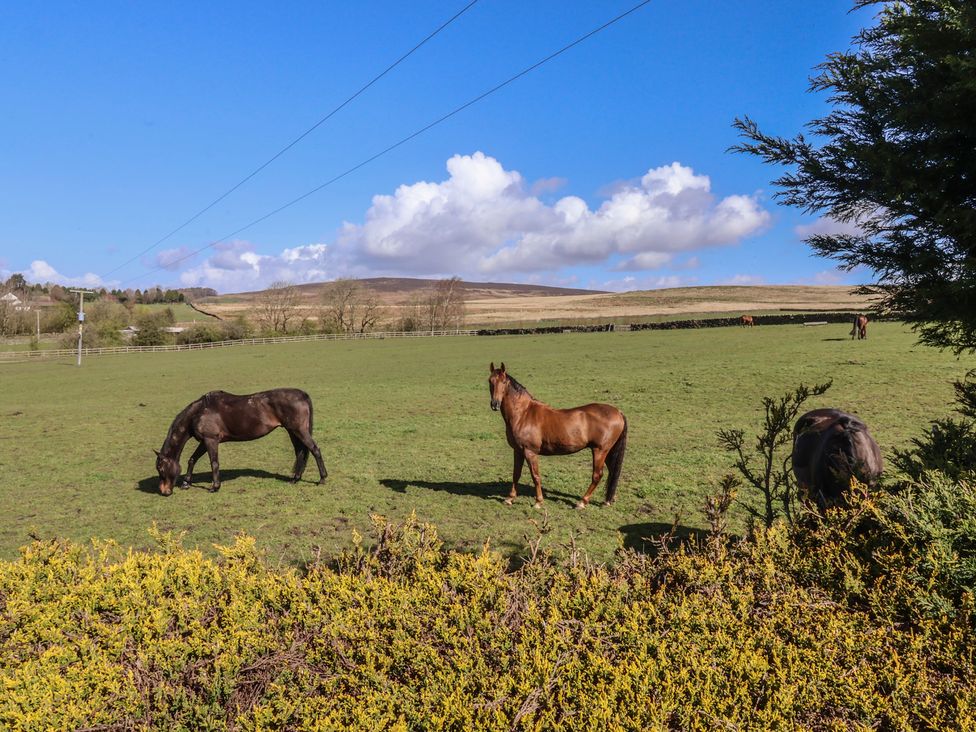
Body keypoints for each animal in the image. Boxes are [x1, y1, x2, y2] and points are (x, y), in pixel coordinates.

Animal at [154, 388, 327, 495]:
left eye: (161, 469)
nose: (163, 491)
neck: (199, 412)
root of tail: (302, 394)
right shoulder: (204, 441)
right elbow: (192, 459)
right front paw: (186, 483)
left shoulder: (211, 440)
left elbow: (214, 463)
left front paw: (215, 487)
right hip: (293, 432)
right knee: (300, 453)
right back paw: (295, 479)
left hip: (299, 430)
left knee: (315, 450)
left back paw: (322, 479)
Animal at [487, 362, 627, 509]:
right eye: (490, 381)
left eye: (504, 382)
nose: (495, 404)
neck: (523, 413)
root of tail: (618, 412)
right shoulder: (518, 451)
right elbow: (516, 474)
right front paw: (510, 498)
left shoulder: (530, 452)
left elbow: (535, 476)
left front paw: (538, 502)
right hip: (608, 451)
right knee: (613, 472)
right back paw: (608, 500)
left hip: (599, 450)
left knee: (597, 475)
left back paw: (582, 502)